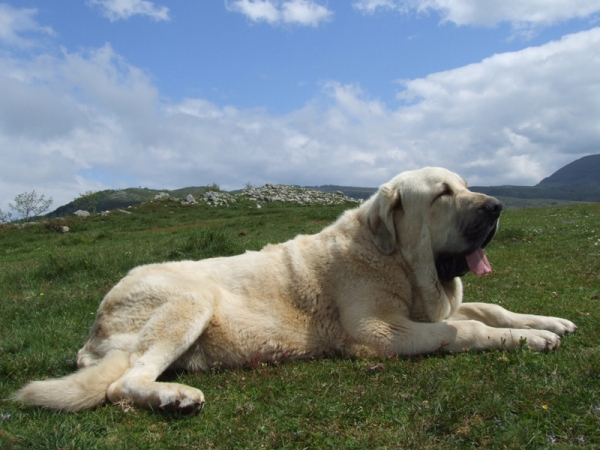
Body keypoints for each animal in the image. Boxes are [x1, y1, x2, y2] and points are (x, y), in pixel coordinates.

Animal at [14, 168, 576, 414]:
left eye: (464, 185)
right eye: (443, 194)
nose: (497, 206)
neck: (394, 257)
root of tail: (92, 336)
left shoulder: (433, 306)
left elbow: (489, 308)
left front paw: (546, 322)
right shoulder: (380, 333)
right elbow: (465, 330)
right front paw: (529, 340)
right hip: (190, 298)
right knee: (123, 382)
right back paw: (173, 397)